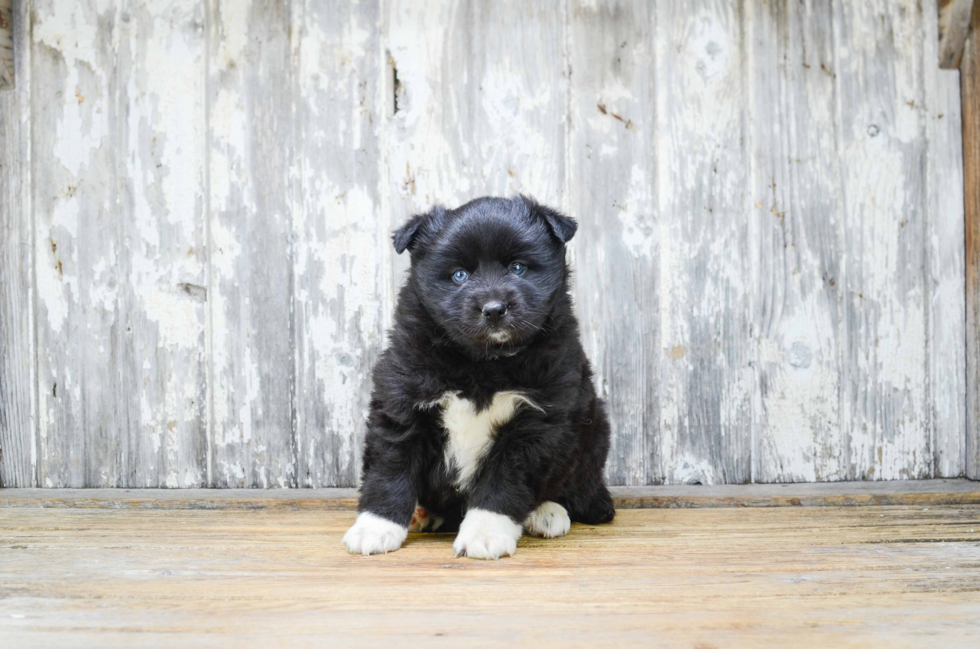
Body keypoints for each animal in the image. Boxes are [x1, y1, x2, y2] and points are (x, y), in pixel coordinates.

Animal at [342, 194, 612, 556]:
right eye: (459, 275)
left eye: (517, 268)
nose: (494, 309)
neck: (482, 361)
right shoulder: (402, 402)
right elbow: (390, 470)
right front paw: (376, 526)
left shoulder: (535, 424)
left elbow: (502, 484)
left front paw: (485, 533)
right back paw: (420, 512)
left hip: (593, 431)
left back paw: (546, 512)